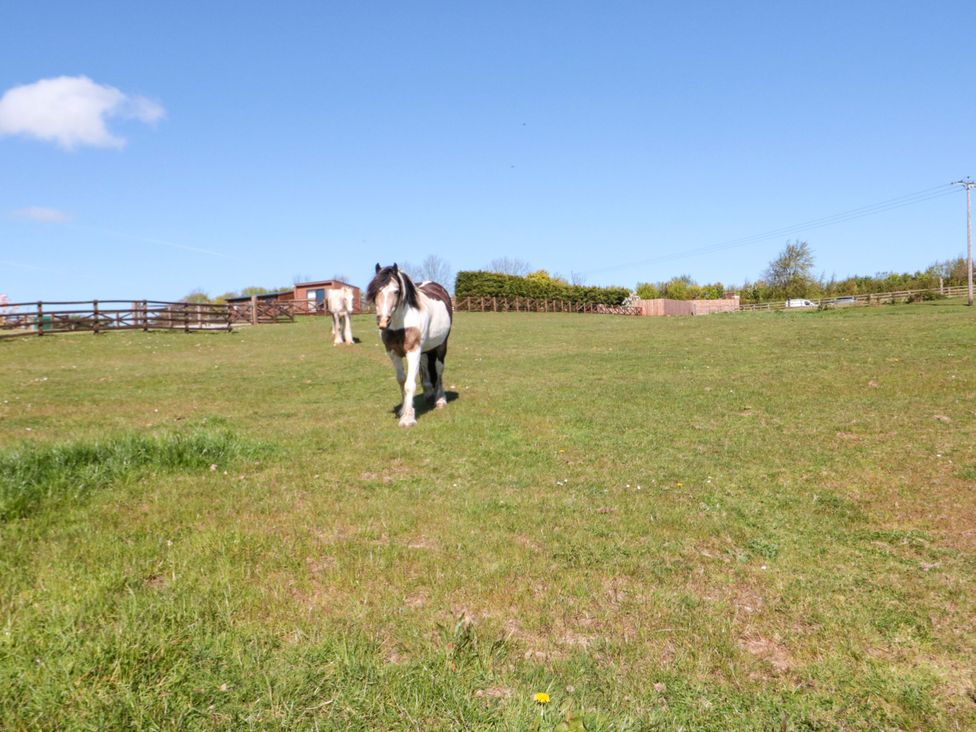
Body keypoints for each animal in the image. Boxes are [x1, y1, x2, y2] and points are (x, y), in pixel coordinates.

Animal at [366, 263, 453, 427]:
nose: (383, 322)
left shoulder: (413, 351)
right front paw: (403, 409)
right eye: (376, 291)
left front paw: (407, 418)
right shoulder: (392, 352)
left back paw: (440, 399)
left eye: (396, 291)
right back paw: (428, 393)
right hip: (425, 350)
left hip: (441, 346)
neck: (400, 324)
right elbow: (401, 380)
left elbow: (409, 384)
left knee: (439, 370)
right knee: (425, 365)